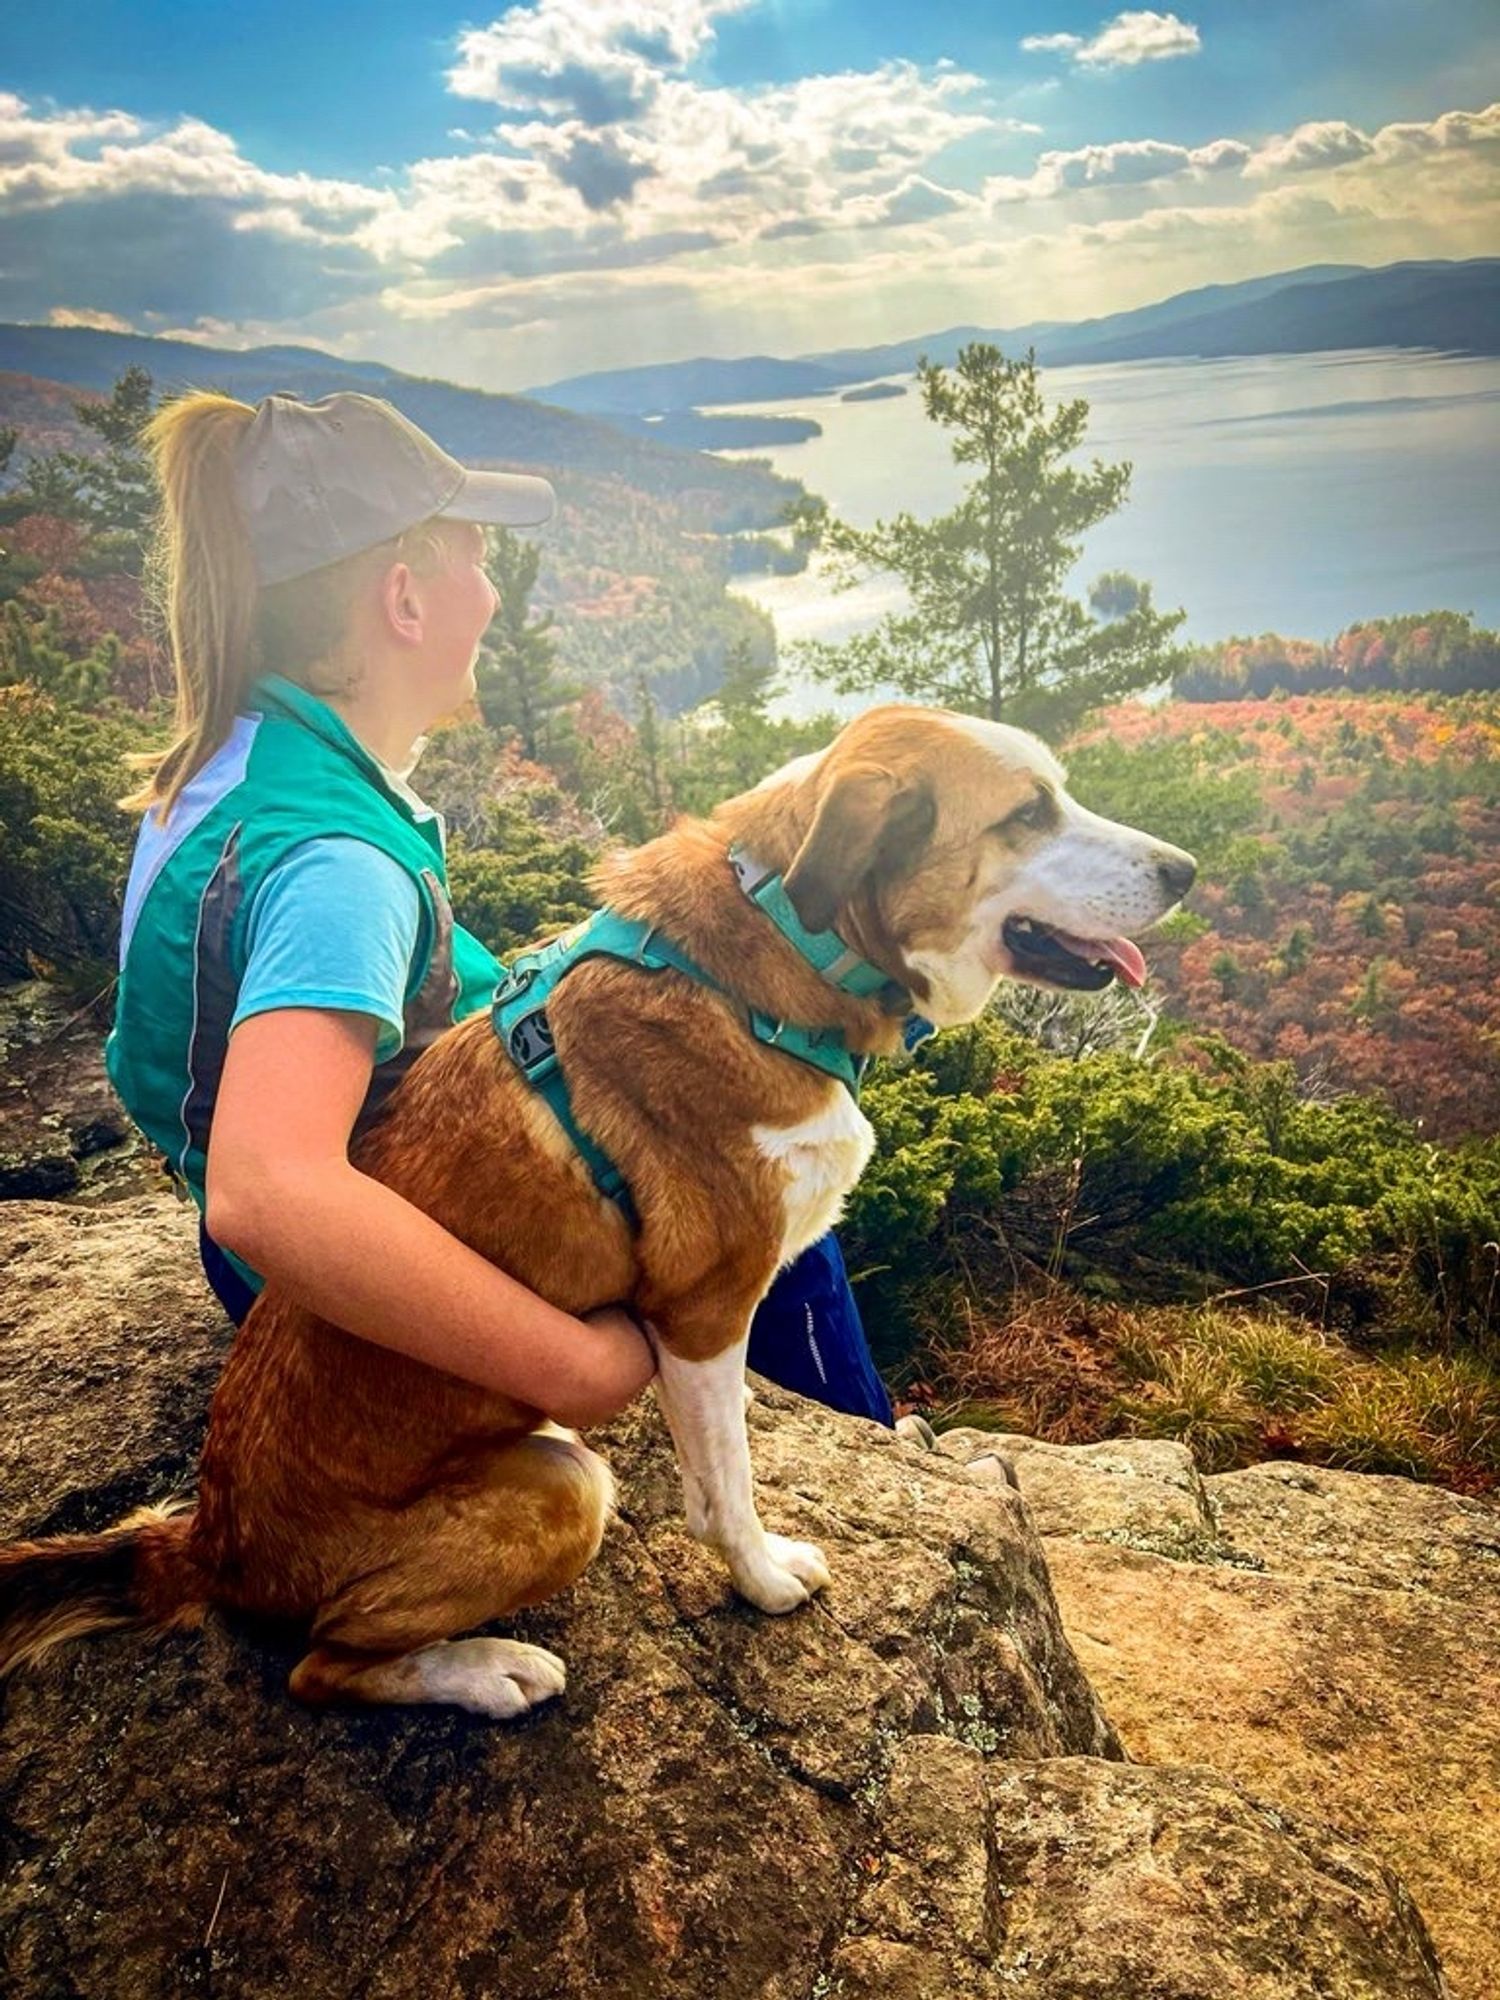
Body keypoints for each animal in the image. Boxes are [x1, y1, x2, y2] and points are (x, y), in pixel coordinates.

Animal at [0, 708, 1200, 1720]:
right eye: (1027, 812)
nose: (1187, 869)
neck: (769, 959)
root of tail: (207, 1540)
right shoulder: (706, 1308)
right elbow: (729, 1487)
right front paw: (762, 1578)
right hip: (560, 1490)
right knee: (319, 1666)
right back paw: (487, 1671)